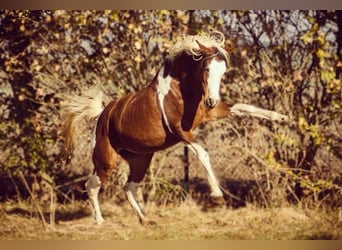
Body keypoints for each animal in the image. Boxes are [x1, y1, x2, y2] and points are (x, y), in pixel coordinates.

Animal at [62, 30, 288, 225]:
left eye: (223, 71)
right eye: (207, 68)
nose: (211, 101)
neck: (180, 90)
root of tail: (102, 116)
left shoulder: (213, 113)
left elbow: (245, 107)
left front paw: (282, 117)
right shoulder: (181, 132)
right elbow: (203, 154)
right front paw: (216, 194)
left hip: (140, 160)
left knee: (128, 186)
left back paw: (144, 220)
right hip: (106, 161)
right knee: (92, 185)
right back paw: (100, 221)